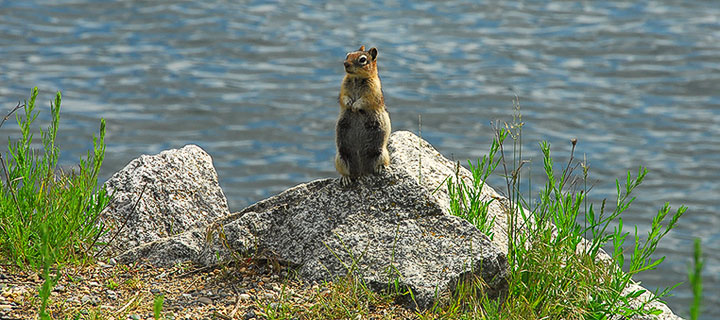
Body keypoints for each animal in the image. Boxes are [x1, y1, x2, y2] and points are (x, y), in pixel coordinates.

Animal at [334, 44, 390, 185]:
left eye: (362, 59)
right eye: (347, 55)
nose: (345, 63)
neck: (356, 78)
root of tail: (361, 172)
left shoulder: (372, 92)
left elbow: (365, 101)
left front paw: (355, 106)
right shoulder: (343, 88)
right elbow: (343, 98)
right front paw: (349, 103)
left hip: (381, 153)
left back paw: (380, 168)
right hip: (340, 158)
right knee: (346, 172)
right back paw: (346, 178)